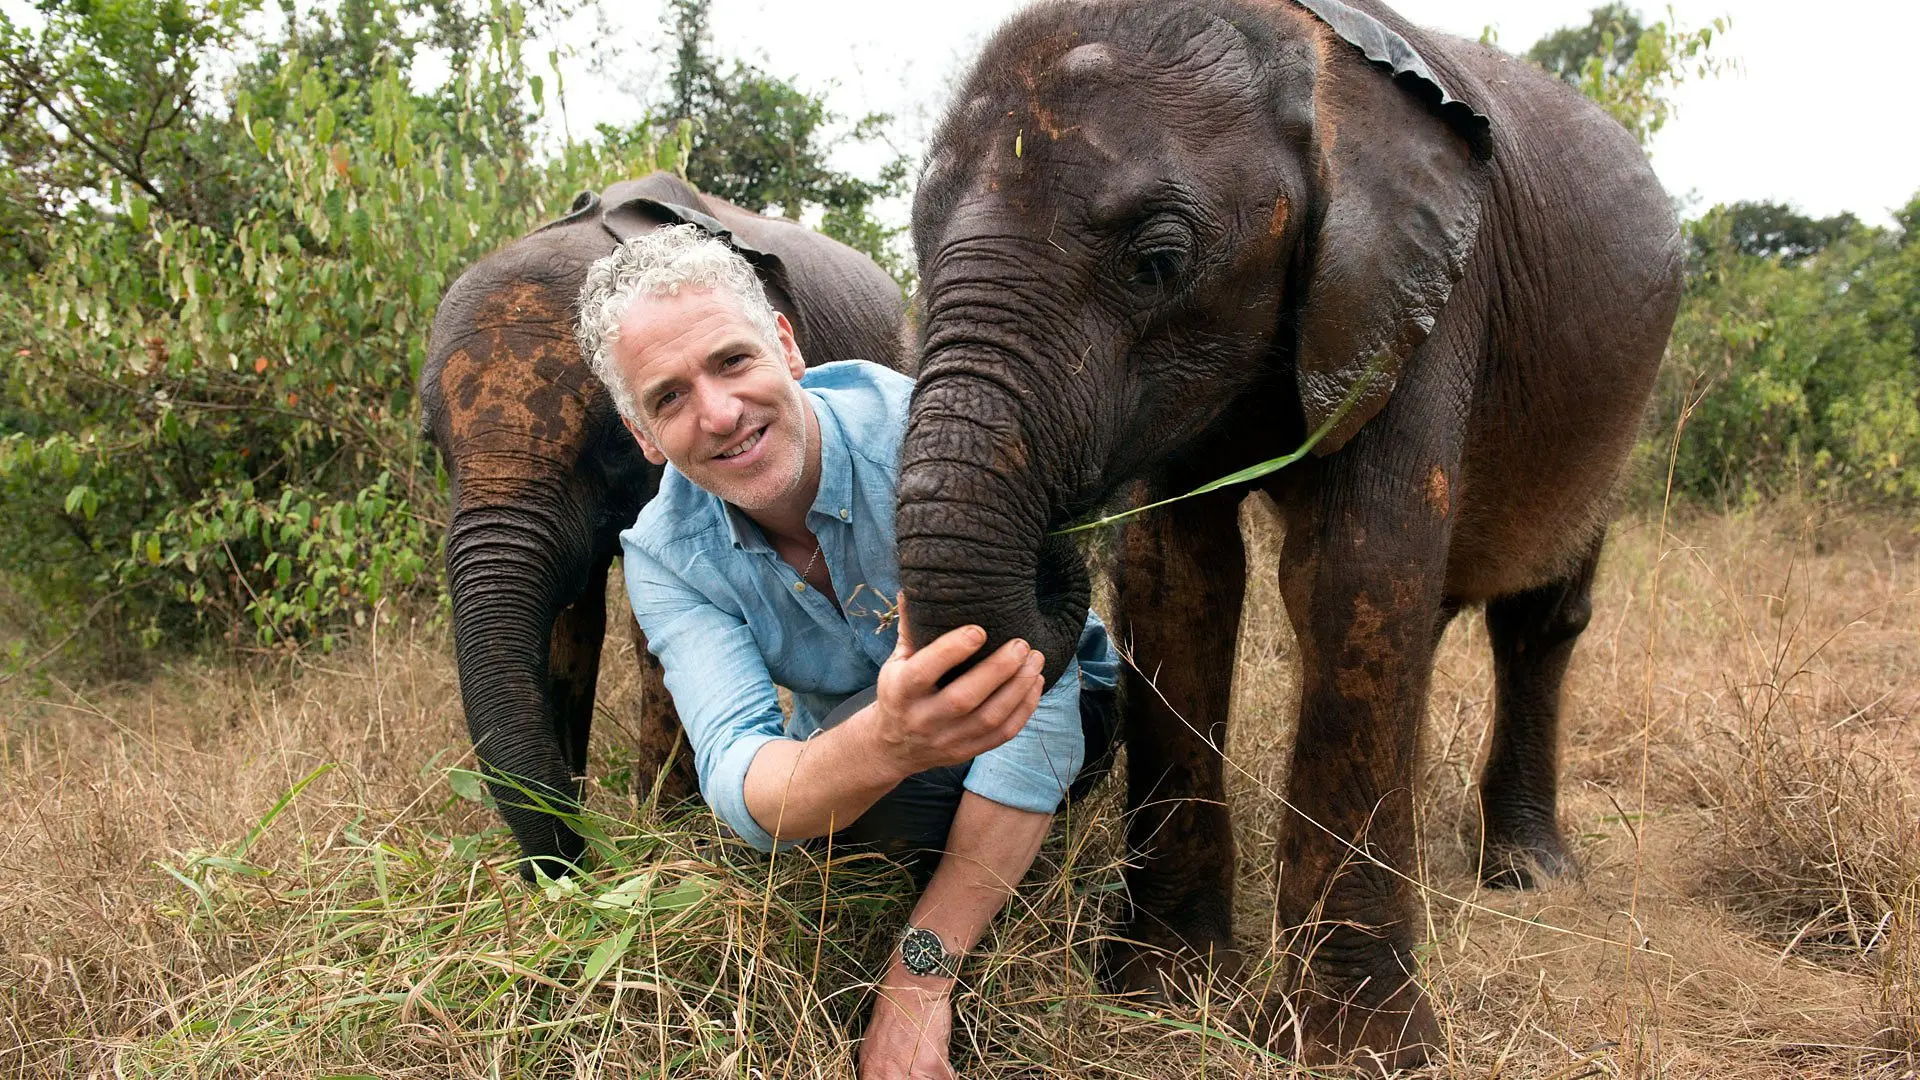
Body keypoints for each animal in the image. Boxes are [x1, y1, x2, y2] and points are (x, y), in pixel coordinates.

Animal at [419, 172, 909, 879]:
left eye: (611, 441)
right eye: (432, 444)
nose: (573, 861)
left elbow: (647, 637)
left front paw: (669, 835)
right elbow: (573, 620)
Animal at [893, 0, 1681, 1068]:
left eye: (1156, 263)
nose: (1054, 563)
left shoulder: (1430, 297)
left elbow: (1353, 576)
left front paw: (1355, 1050)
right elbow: (1176, 579)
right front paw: (1165, 993)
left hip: (1619, 409)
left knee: (1539, 614)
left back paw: (1528, 875)